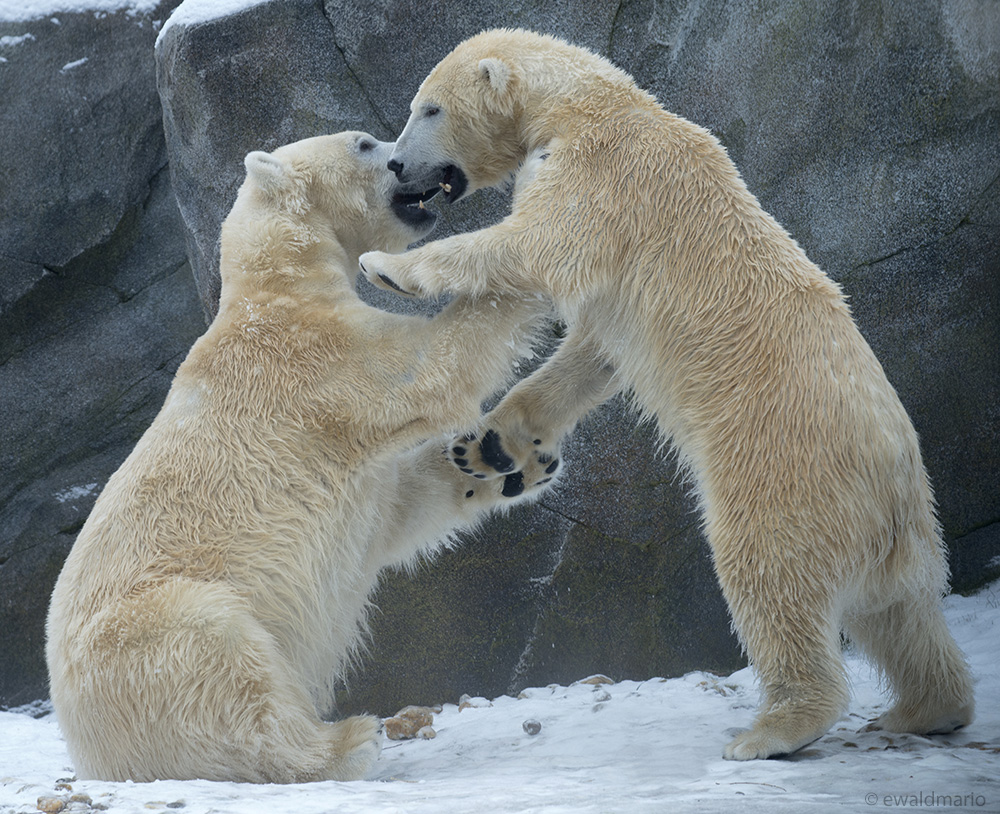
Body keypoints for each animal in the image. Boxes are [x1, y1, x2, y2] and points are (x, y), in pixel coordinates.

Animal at [47, 132, 556, 784]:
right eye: (364, 143)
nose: (408, 162)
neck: (280, 284)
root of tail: (87, 750)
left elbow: (400, 508)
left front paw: (512, 463)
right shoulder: (321, 362)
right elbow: (437, 364)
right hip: (149, 637)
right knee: (224, 661)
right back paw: (344, 743)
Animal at [362, 28, 976, 760]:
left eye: (427, 108)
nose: (398, 165)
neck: (587, 105)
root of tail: (896, 474)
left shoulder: (602, 179)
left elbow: (534, 246)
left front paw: (385, 266)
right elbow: (594, 351)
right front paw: (489, 446)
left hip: (784, 473)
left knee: (769, 575)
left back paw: (772, 729)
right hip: (897, 525)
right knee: (899, 616)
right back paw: (925, 709)